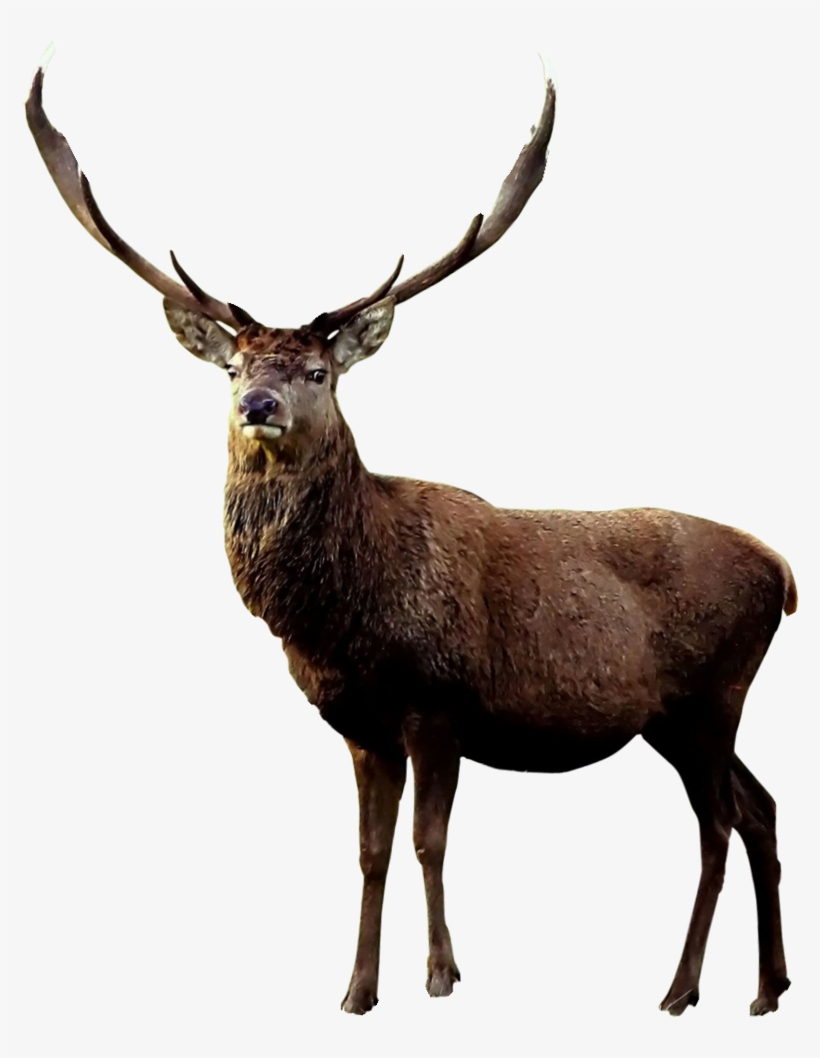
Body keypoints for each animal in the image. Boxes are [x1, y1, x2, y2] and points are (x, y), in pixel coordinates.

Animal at [27, 57, 796, 1020]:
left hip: (711, 694)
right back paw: (767, 988)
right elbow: (371, 852)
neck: (345, 621)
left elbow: (431, 843)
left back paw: (681, 989)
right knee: (761, 809)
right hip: (680, 715)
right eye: (235, 366)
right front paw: (357, 990)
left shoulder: (440, 701)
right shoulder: (359, 725)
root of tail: (784, 572)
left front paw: (441, 976)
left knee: (718, 825)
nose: (259, 405)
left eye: (318, 371)